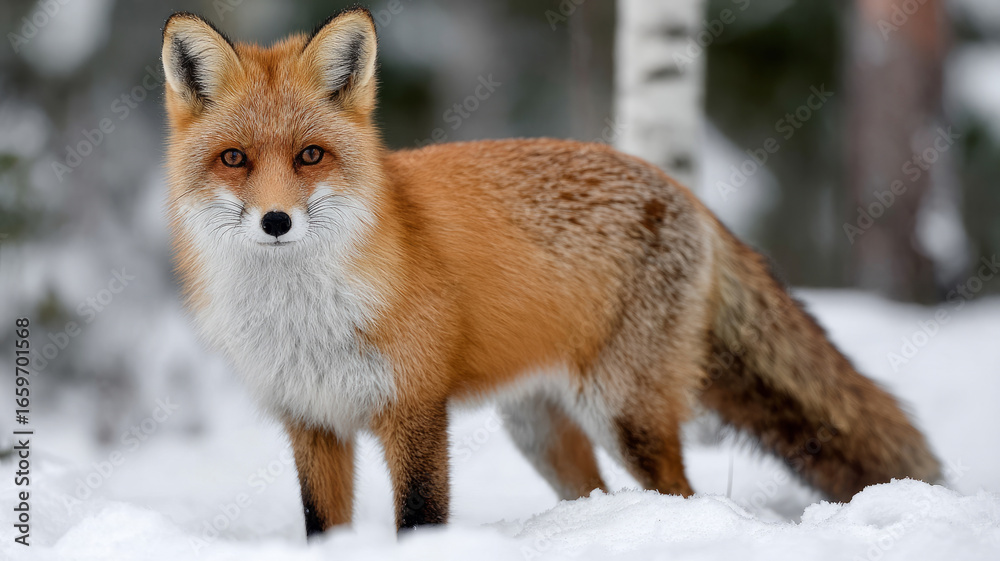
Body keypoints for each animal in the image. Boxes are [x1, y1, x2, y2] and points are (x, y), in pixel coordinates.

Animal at [161, 9, 942, 536]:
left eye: (310, 156)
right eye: (234, 159)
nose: (276, 221)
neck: (303, 314)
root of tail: (681, 189)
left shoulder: (415, 411)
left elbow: (420, 516)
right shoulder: (312, 421)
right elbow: (325, 528)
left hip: (623, 411)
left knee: (679, 493)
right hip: (538, 427)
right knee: (594, 493)